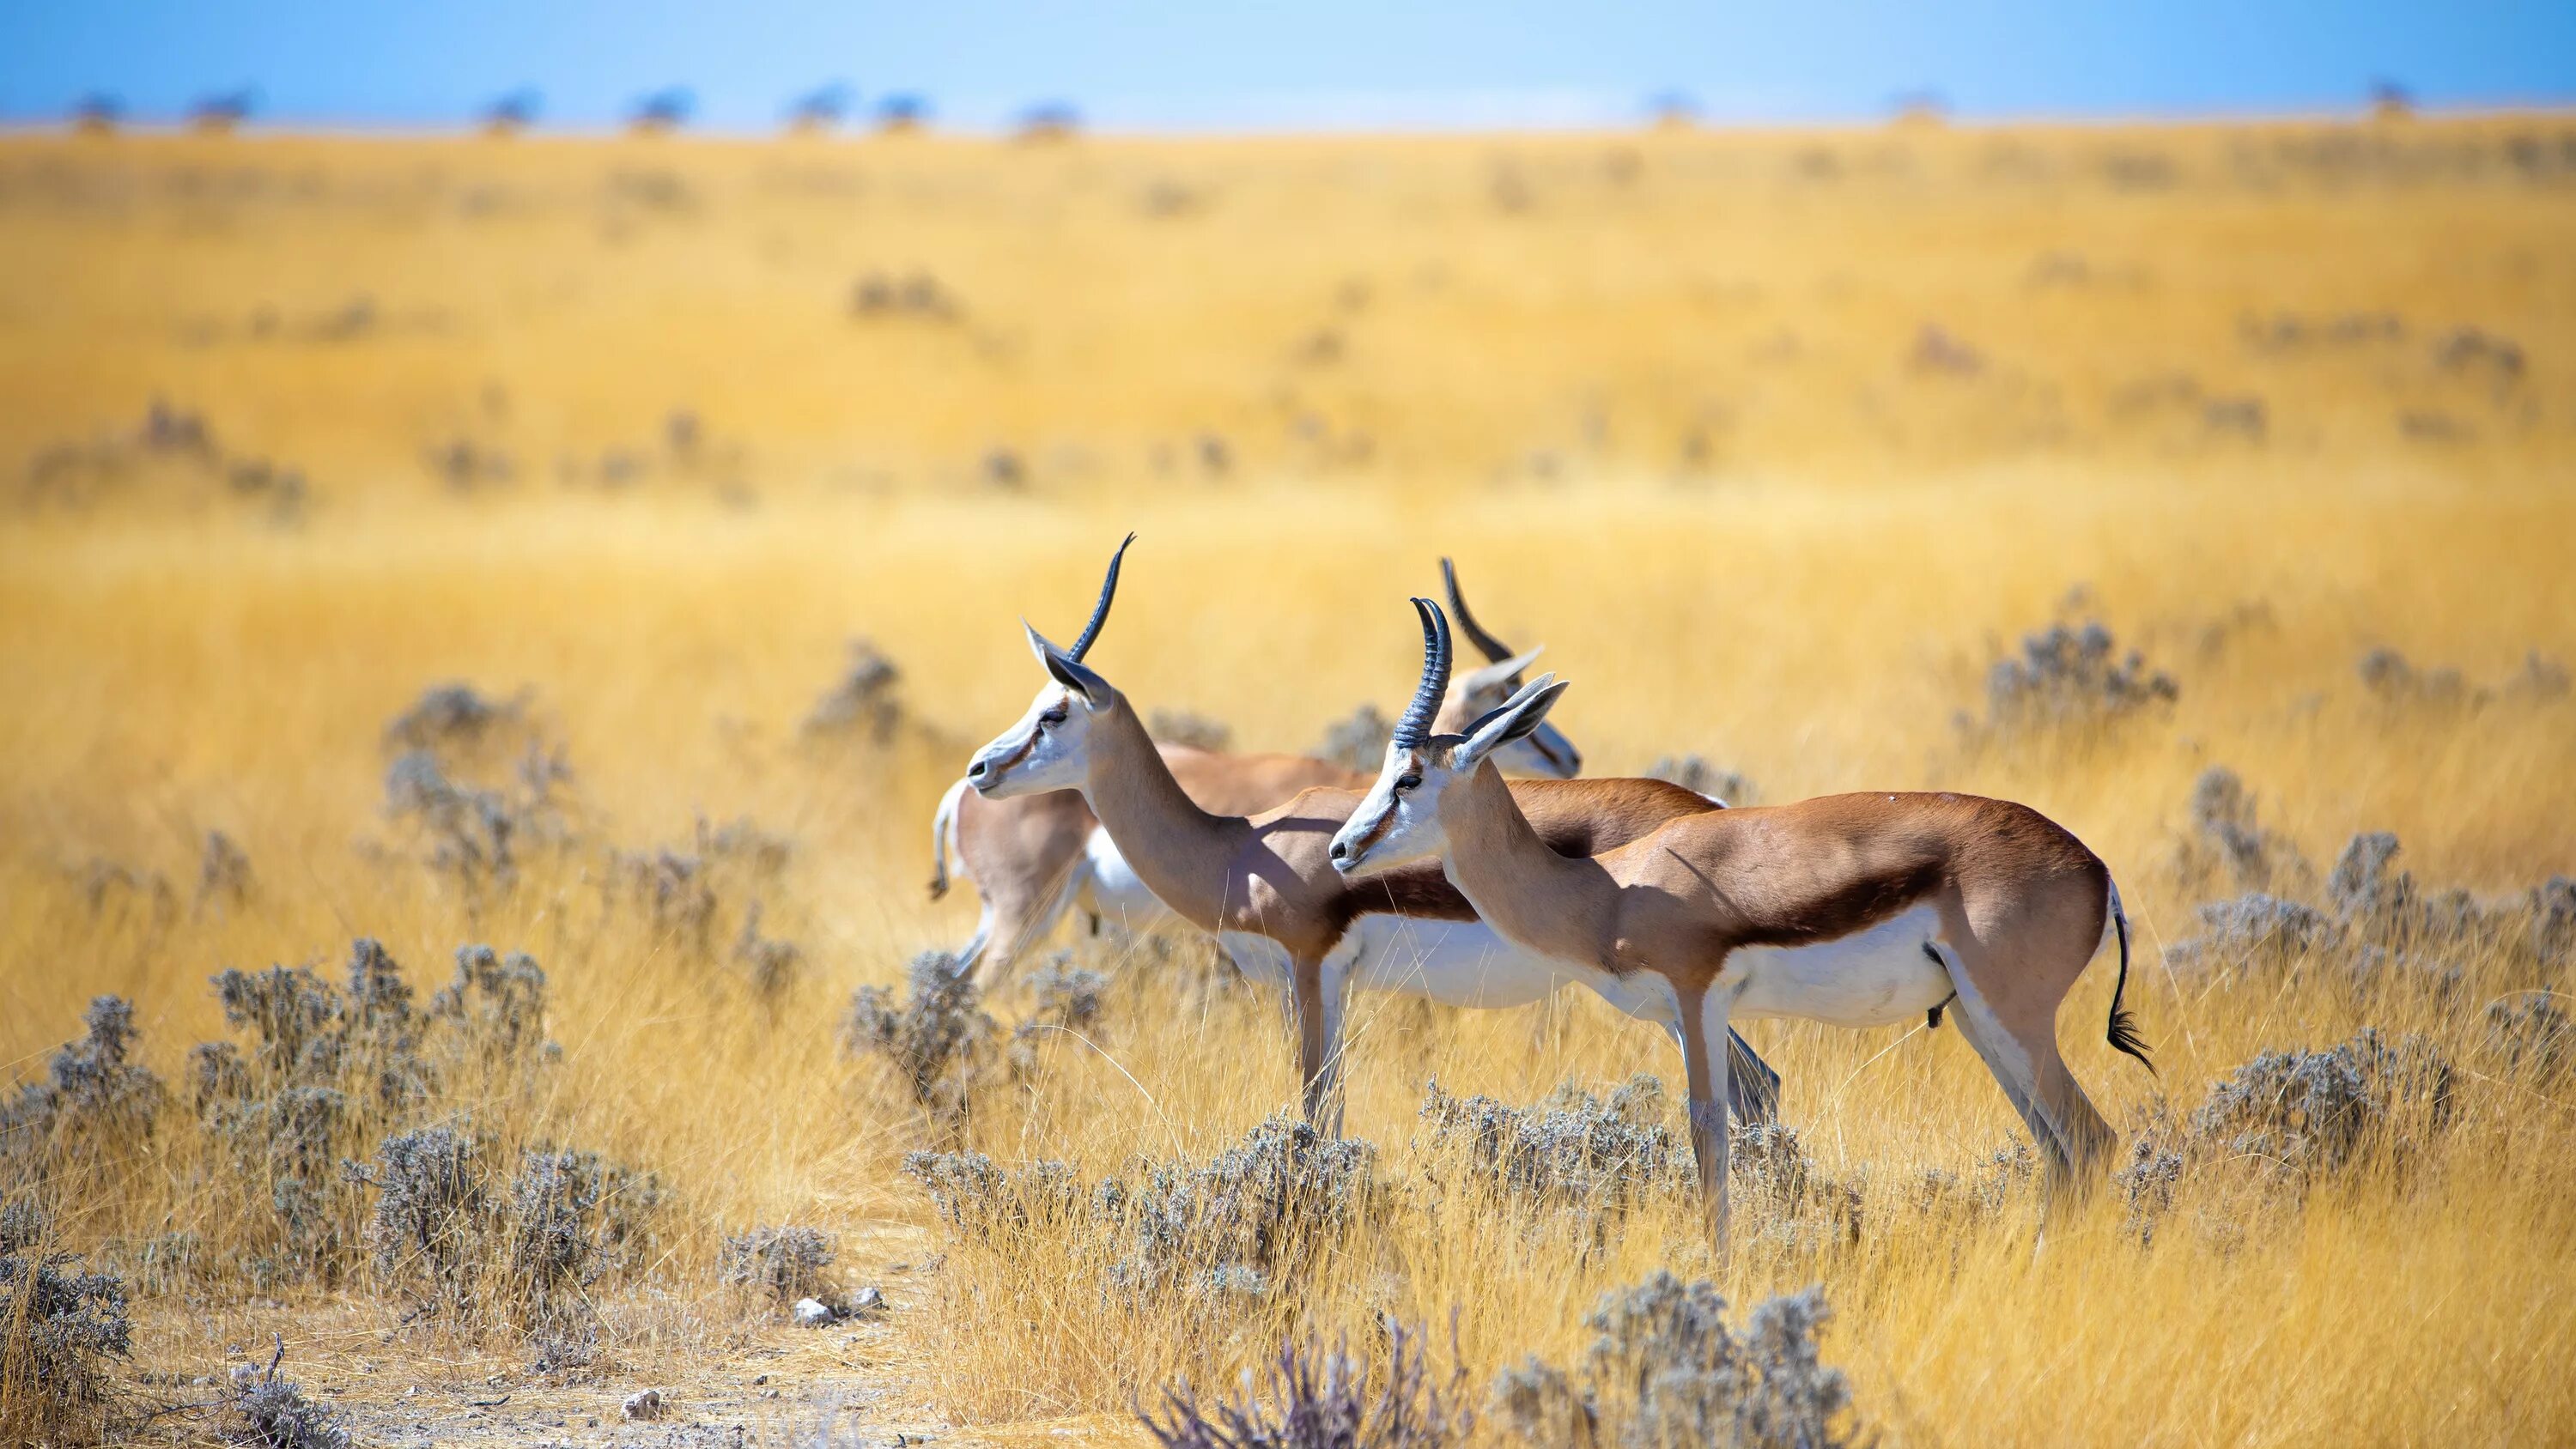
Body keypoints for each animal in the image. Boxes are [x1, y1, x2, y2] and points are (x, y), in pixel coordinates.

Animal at [1329, 602, 2154, 1246]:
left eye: (1409, 778)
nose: (1341, 848)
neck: (1610, 889)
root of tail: (2098, 871)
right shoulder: (1685, 1014)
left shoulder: (1698, 1001)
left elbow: (1708, 1134)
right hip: (1981, 1023)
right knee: (2061, 1153)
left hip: (2013, 1020)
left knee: (2092, 1141)